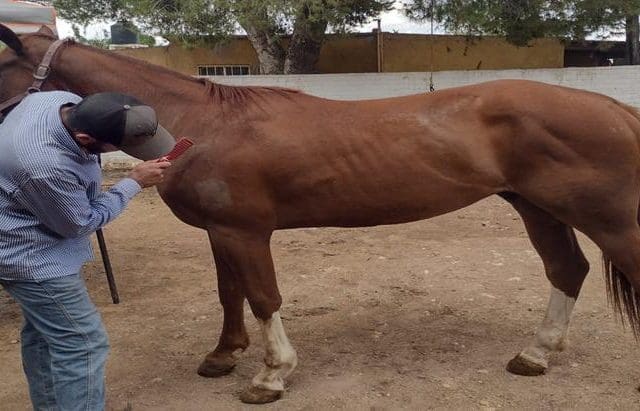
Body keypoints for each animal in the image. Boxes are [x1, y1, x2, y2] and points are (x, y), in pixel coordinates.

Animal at [1, 24, 639, 404]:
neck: (202, 126)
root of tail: (612, 107)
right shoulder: (221, 233)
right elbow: (229, 293)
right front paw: (222, 356)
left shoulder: (246, 233)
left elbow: (263, 298)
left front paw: (270, 374)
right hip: (538, 209)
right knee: (566, 271)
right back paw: (535, 354)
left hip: (609, 220)